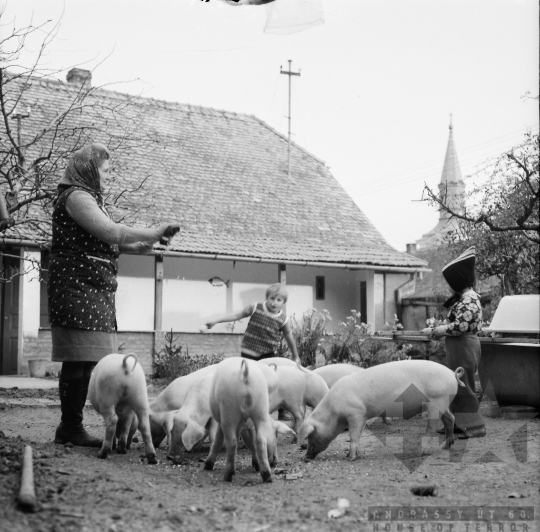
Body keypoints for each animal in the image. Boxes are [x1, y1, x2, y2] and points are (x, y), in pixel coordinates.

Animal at [298, 360, 466, 464]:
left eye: (311, 435)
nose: (305, 457)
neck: (334, 413)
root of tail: (453, 374)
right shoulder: (361, 416)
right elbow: (357, 435)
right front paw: (351, 455)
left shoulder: (356, 414)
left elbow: (354, 435)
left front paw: (350, 458)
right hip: (443, 403)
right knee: (450, 418)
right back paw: (446, 447)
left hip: (436, 402)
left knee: (432, 428)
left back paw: (422, 452)